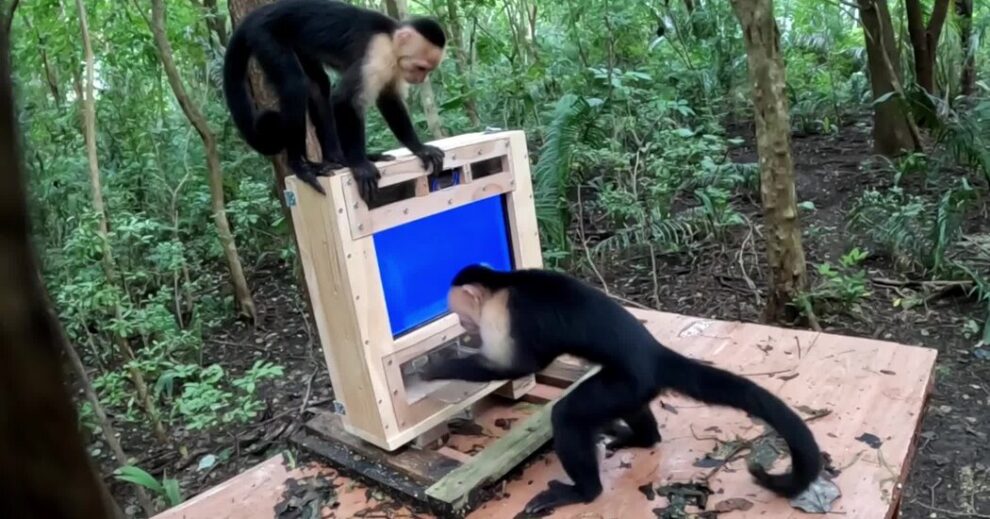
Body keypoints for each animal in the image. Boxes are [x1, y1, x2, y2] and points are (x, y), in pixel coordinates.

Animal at [223, 0, 447, 204]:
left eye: (427, 70)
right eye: (421, 67)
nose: (421, 79)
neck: (391, 39)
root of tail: (255, 15)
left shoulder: (394, 66)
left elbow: (389, 99)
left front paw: (419, 148)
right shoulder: (377, 55)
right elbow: (345, 101)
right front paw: (360, 165)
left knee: (318, 85)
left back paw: (337, 158)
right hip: (264, 35)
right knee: (295, 84)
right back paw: (301, 165)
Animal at [421, 264, 823, 515]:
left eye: (461, 314)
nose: (463, 326)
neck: (503, 284)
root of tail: (654, 352)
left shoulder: (503, 315)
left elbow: (518, 367)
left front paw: (436, 367)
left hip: (630, 380)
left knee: (568, 415)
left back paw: (584, 491)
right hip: (634, 386)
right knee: (630, 410)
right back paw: (641, 437)